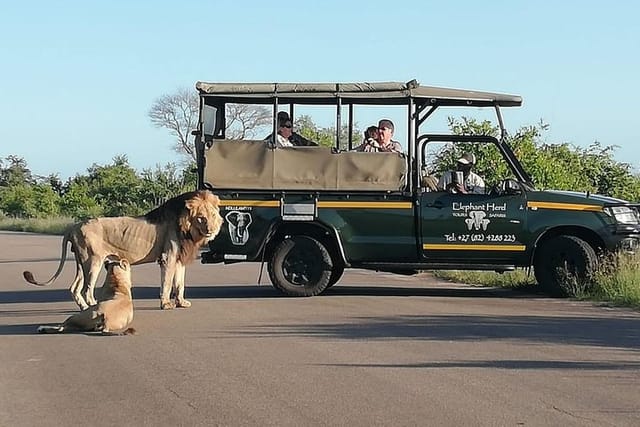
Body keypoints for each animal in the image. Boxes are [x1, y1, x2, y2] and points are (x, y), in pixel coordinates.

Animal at [23, 191, 222, 310]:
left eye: (213, 215)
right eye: (201, 218)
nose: (211, 230)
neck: (187, 229)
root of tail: (73, 226)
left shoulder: (179, 259)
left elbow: (179, 284)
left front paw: (181, 303)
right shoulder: (168, 257)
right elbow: (166, 283)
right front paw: (166, 304)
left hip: (81, 263)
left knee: (74, 288)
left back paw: (85, 309)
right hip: (93, 261)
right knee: (87, 289)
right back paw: (93, 307)